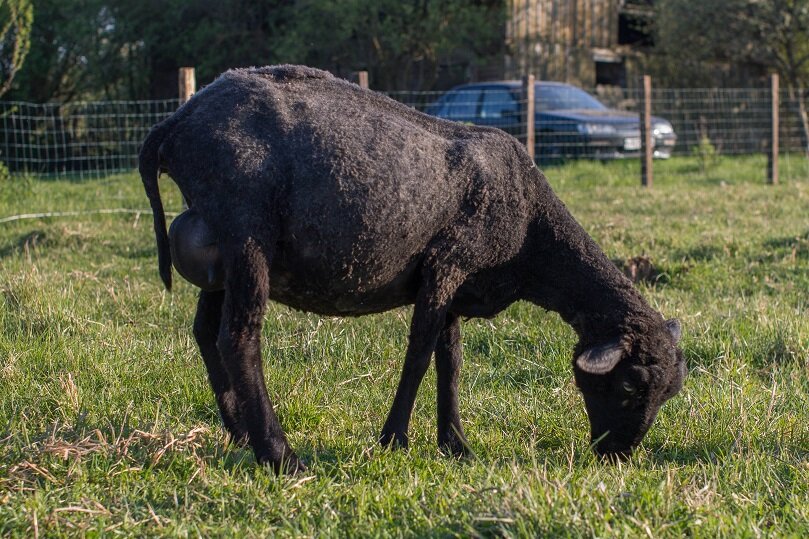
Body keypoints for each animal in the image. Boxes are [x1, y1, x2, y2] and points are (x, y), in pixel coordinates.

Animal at [137, 66, 680, 472]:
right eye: (630, 385)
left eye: (668, 394)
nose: (617, 456)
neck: (531, 236)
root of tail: (176, 122)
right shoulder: (447, 263)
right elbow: (419, 354)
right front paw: (394, 439)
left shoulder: (457, 283)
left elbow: (450, 360)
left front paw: (455, 444)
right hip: (246, 228)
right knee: (238, 338)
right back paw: (279, 455)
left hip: (221, 247)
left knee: (206, 331)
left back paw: (237, 432)